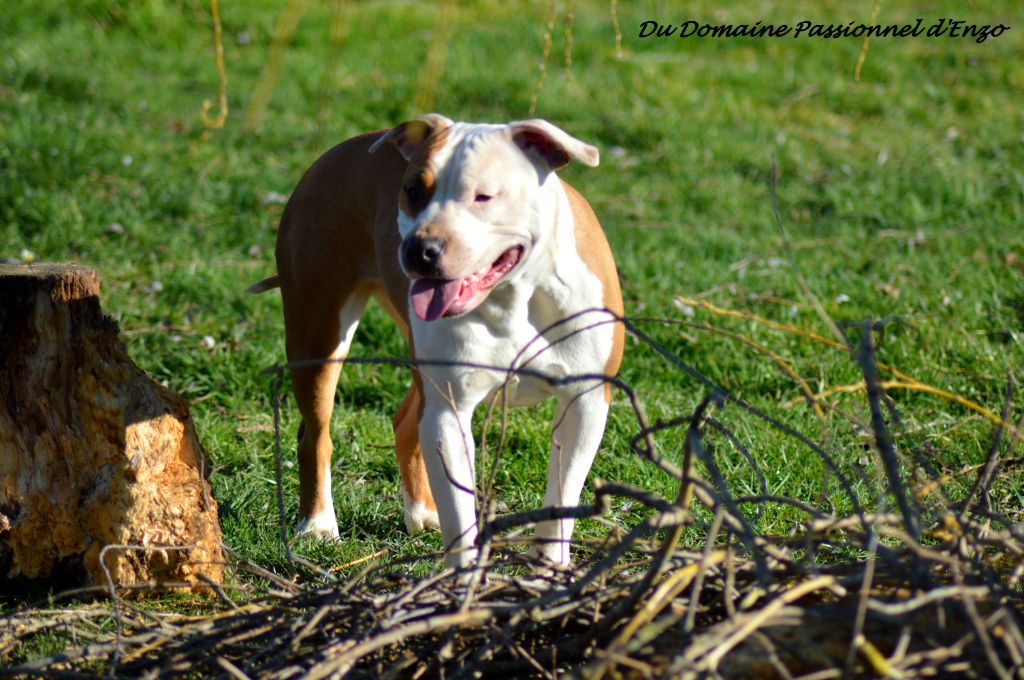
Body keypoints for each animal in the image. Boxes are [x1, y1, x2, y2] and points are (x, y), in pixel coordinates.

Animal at [251, 116, 622, 569]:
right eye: (413, 190)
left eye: (483, 195)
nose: (419, 248)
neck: (512, 294)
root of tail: (338, 151)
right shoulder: (450, 410)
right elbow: (460, 514)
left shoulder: (584, 402)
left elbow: (562, 497)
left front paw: (550, 568)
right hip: (318, 334)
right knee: (315, 434)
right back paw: (319, 524)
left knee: (405, 422)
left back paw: (421, 515)